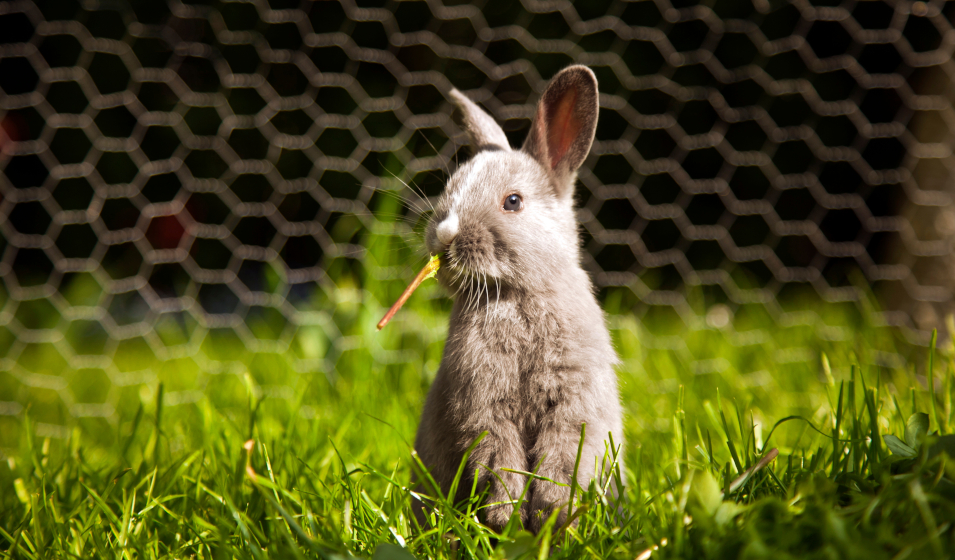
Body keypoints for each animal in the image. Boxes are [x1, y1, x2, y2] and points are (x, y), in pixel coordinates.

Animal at [412, 65, 624, 534]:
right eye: (449, 190)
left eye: (513, 202)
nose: (445, 235)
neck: (517, 296)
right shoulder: (483, 404)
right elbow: (499, 458)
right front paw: (505, 516)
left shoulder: (573, 402)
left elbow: (562, 456)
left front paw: (551, 513)